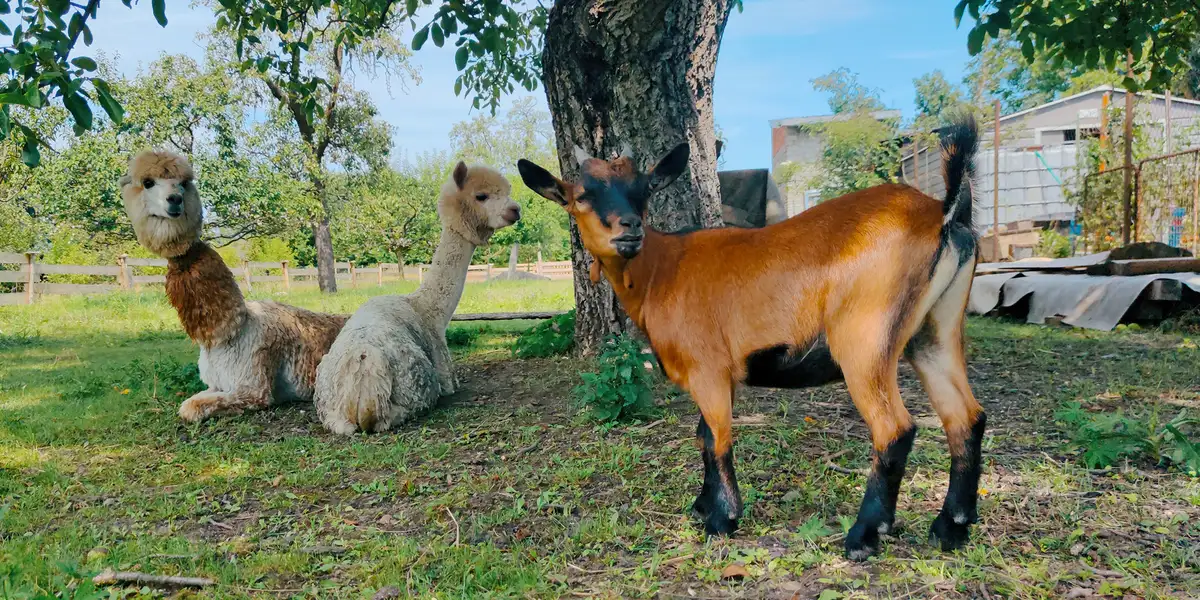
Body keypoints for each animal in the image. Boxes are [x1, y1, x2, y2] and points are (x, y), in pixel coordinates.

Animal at [520, 119, 988, 559]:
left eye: (644, 189)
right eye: (581, 195)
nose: (629, 228)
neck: (661, 271)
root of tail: (944, 213)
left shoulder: (708, 369)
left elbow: (719, 439)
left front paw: (722, 520)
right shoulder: (722, 374)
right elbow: (704, 436)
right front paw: (703, 506)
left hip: (866, 339)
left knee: (895, 429)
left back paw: (864, 536)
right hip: (934, 332)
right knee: (965, 417)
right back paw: (951, 528)